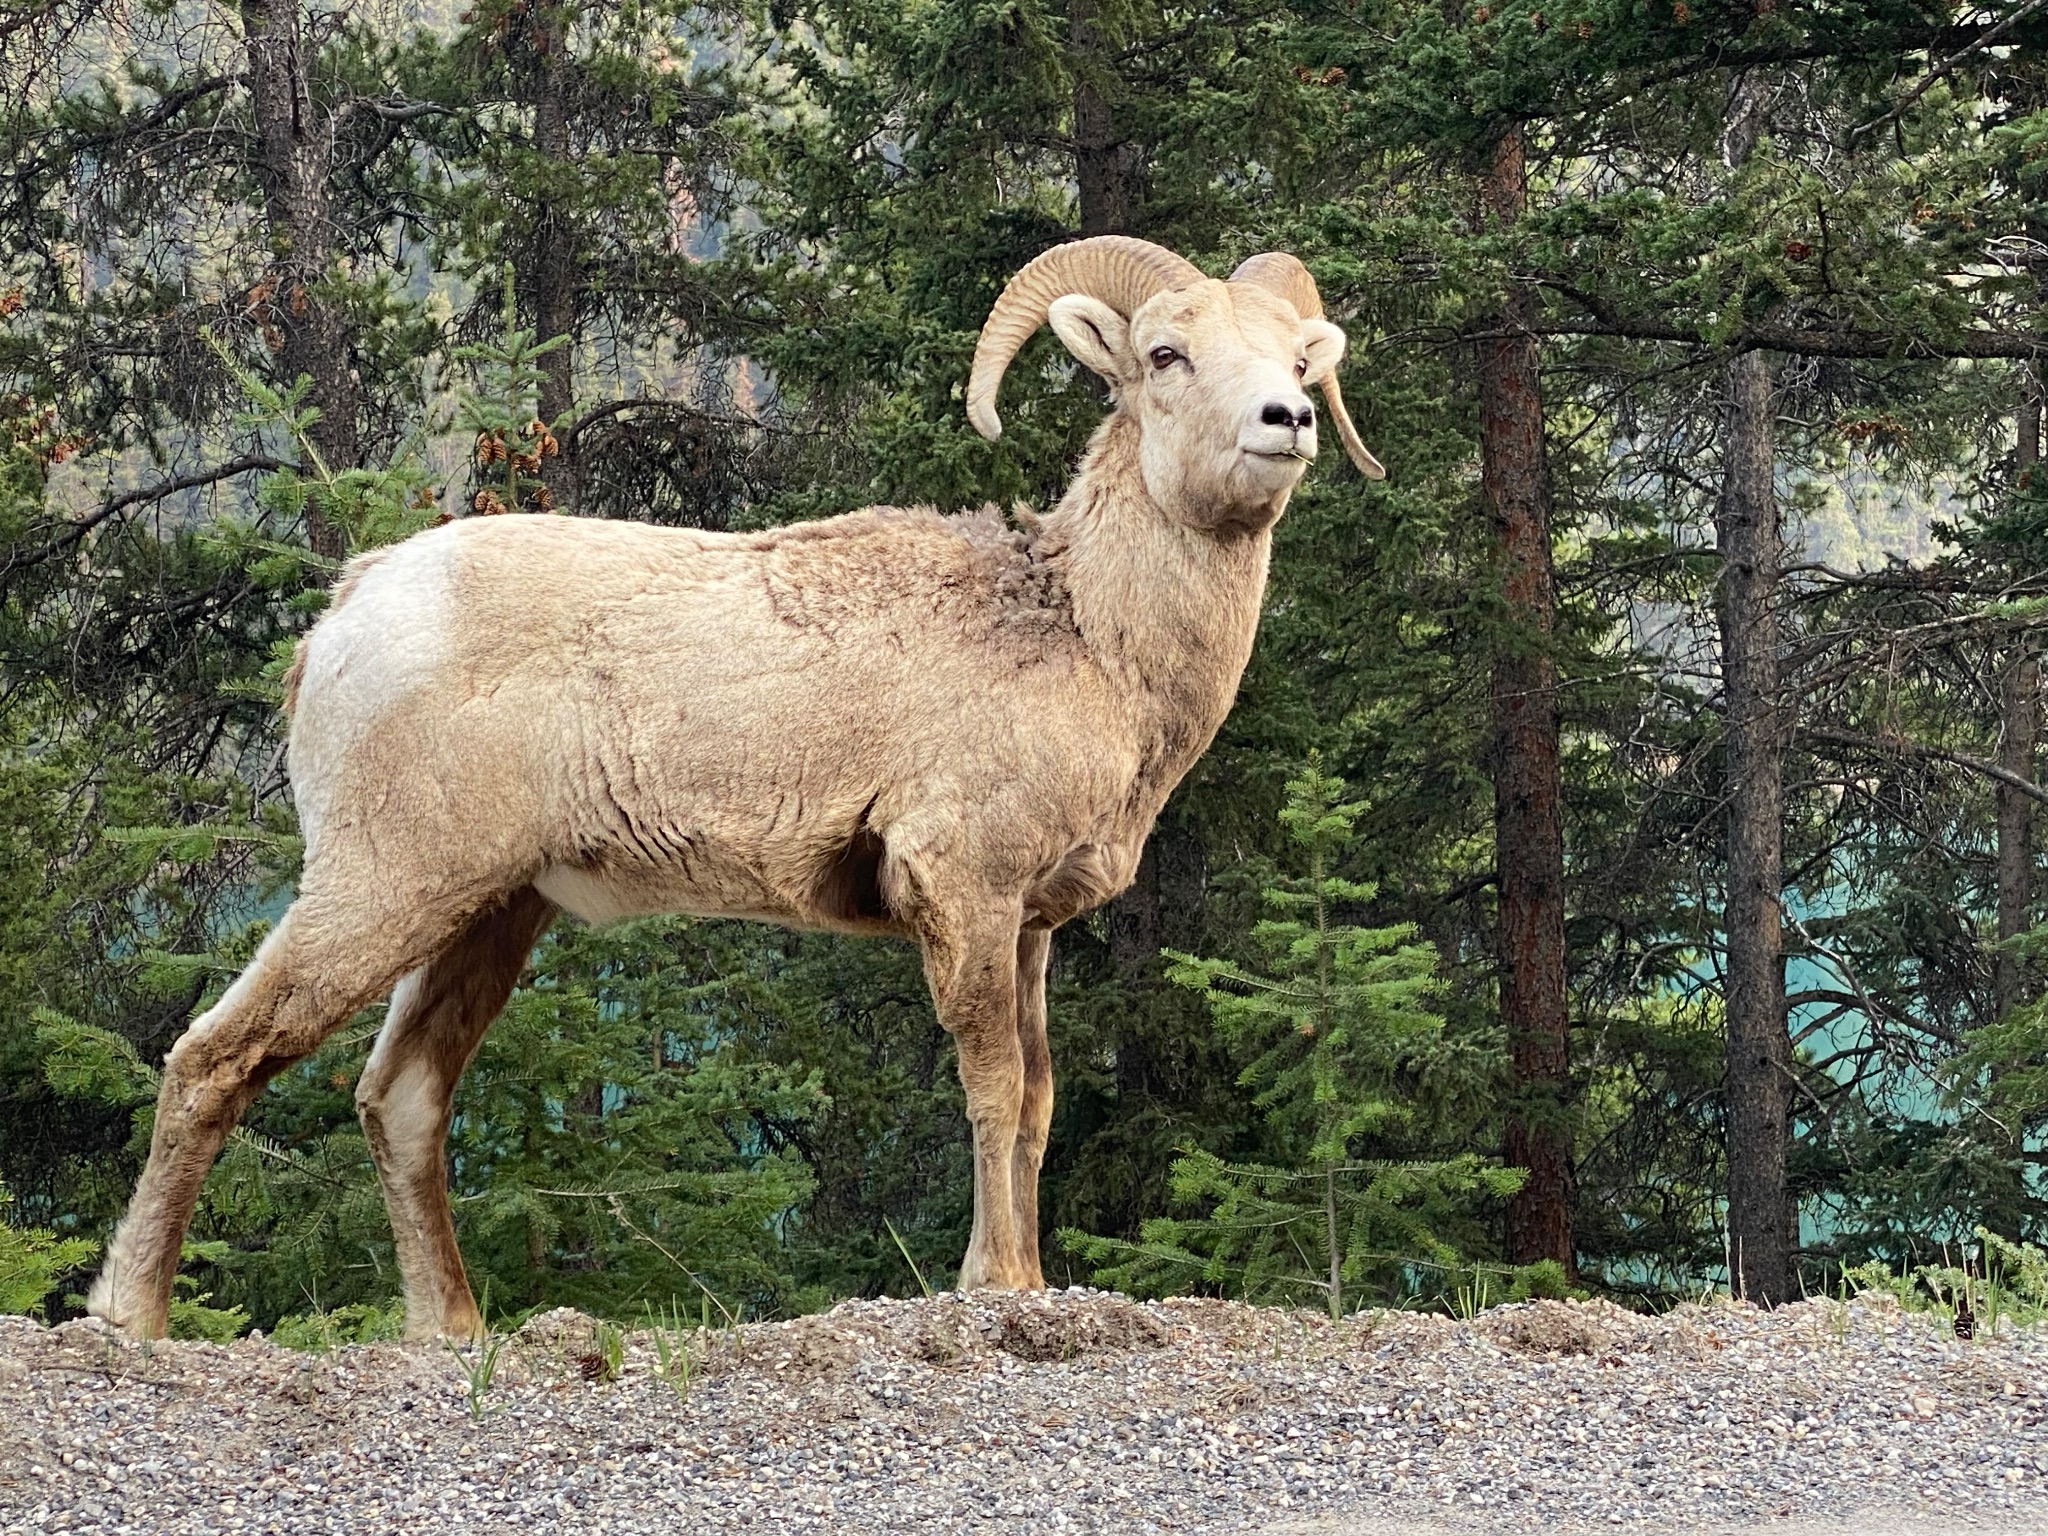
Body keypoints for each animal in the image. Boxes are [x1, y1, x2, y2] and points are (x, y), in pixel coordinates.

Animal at [86, 235, 1383, 1340]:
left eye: (1294, 359)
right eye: (1166, 355)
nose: (1285, 422)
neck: (1085, 633)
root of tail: (343, 618)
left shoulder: (1028, 928)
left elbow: (1036, 1107)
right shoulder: (962, 895)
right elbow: (992, 1089)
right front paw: (998, 1286)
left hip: (489, 913)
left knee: (399, 1097)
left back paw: (451, 1332)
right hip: (380, 887)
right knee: (213, 1058)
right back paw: (130, 1316)